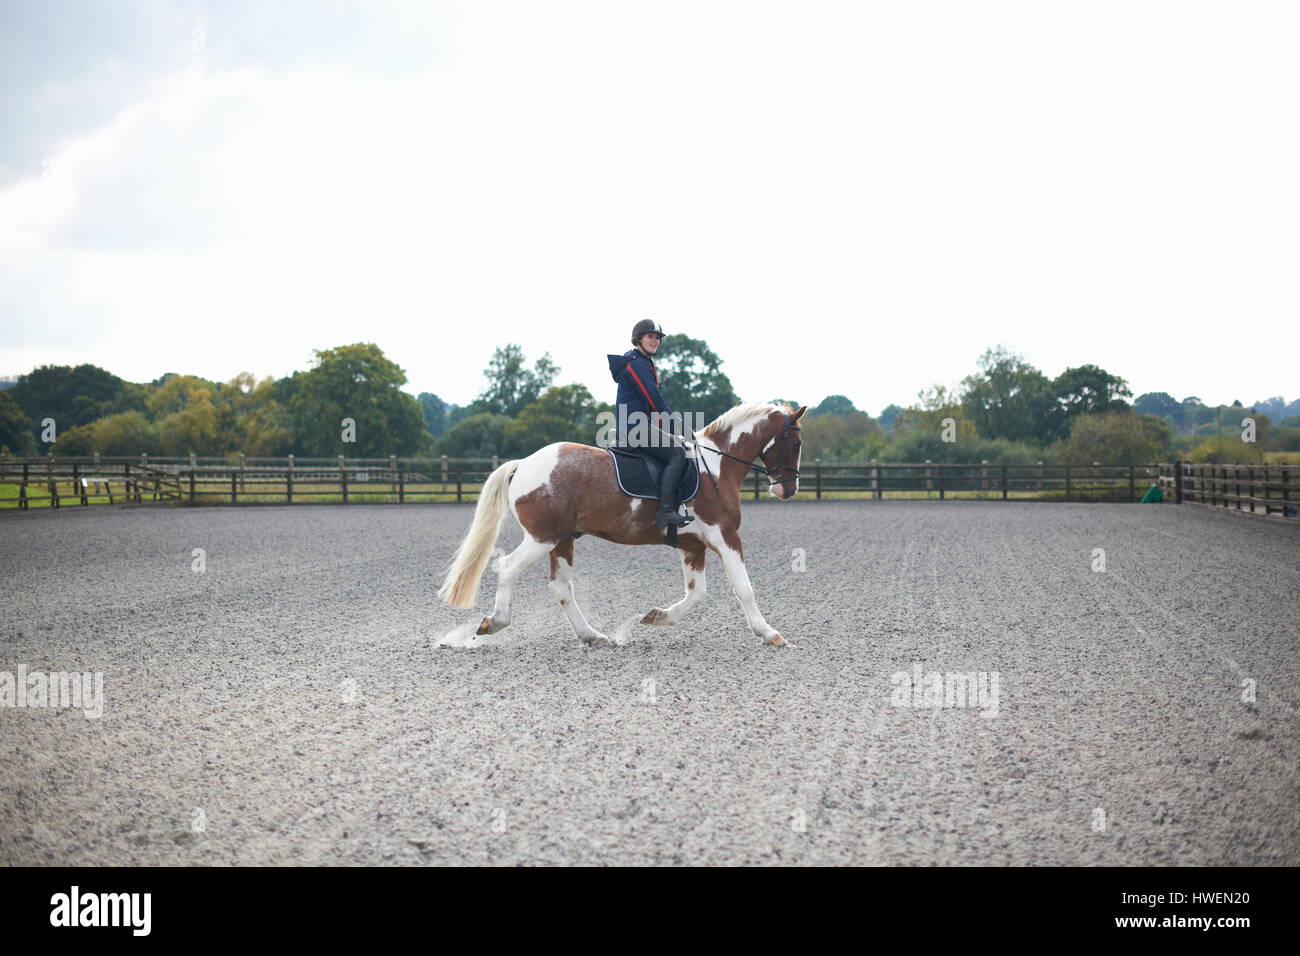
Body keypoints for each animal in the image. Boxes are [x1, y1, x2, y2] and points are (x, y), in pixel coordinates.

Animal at [436, 400, 800, 647]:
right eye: (795, 443)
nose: (788, 489)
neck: (716, 465)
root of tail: (524, 463)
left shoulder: (693, 546)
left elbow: (697, 593)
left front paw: (658, 617)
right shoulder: (725, 536)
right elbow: (744, 587)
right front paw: (769, 633)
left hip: (562, 539)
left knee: (560, 587)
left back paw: (591, 635)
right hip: (543, 537)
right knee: (508, 567)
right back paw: (495, 622)